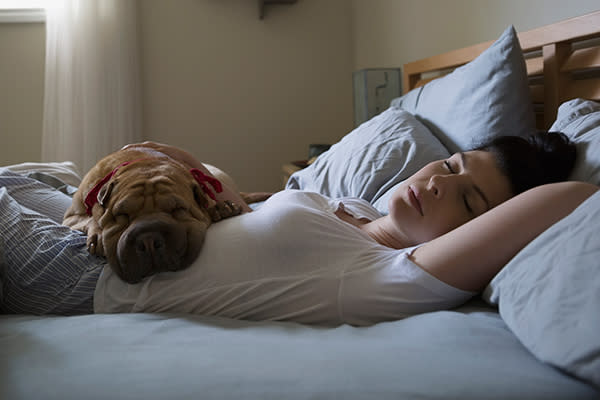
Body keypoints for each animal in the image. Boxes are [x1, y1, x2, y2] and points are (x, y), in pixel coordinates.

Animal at [61, 145, 239, 282]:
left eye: (178, 209)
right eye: (122, 214)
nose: (148, 240)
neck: (145, 162)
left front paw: (218, 207)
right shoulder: (70, 217)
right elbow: (90, 219)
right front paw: (97, 234)